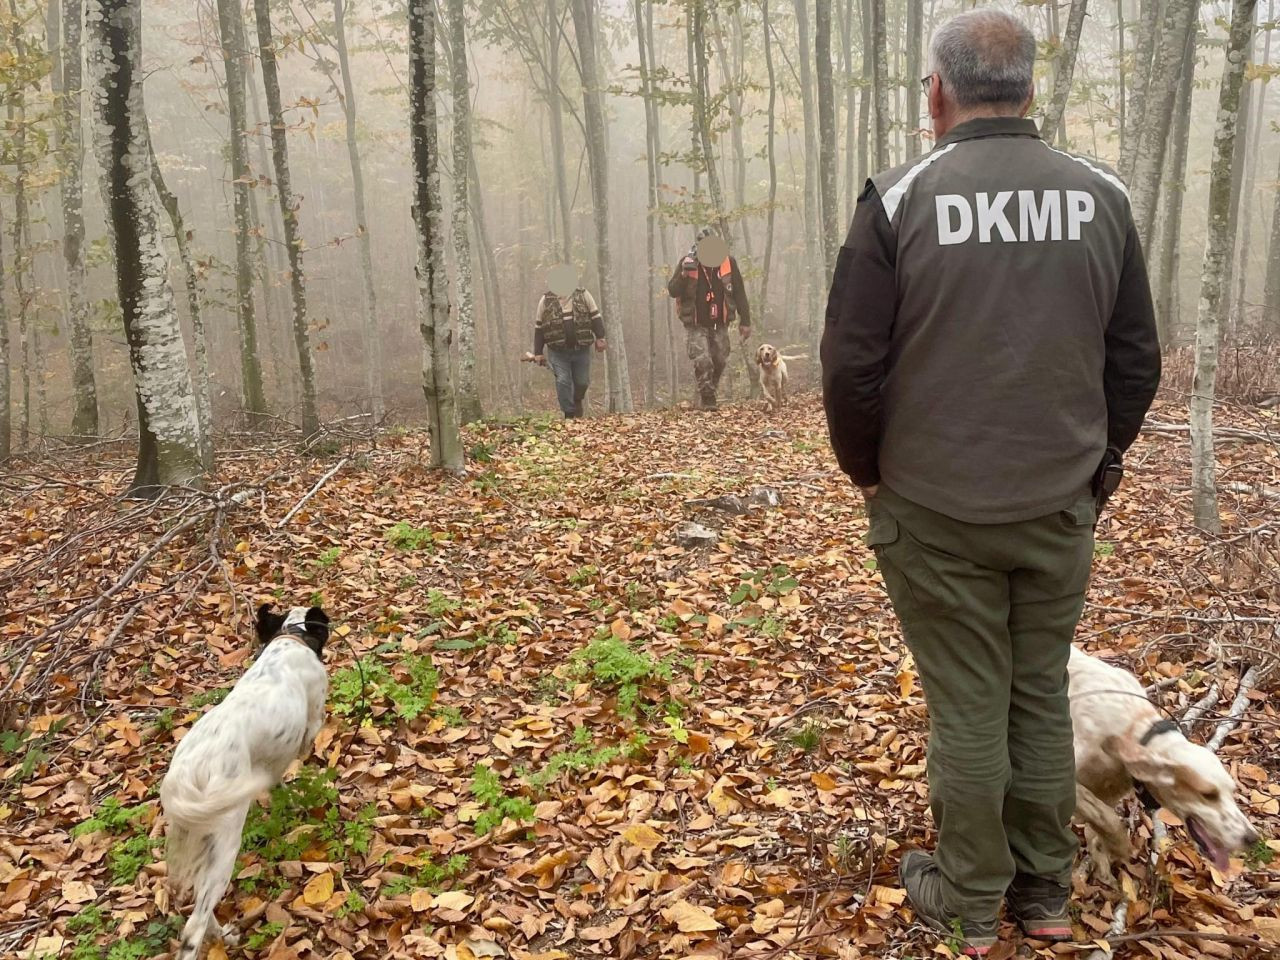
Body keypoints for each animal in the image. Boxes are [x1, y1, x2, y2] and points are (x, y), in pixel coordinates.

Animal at [161, 604, 330, 957]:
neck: (290, 639)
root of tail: (186, 775)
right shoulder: (313, 717)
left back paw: (222, 933)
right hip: (224, 841)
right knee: (194, 924)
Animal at [1064, 650, 1254, 885]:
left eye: (1232, 792)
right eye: (1208, 794)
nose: (1252, 838)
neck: (1131, 727)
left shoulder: (1108, 790)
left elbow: (1098, 825)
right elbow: (1105, 818)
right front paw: (1119, 845)